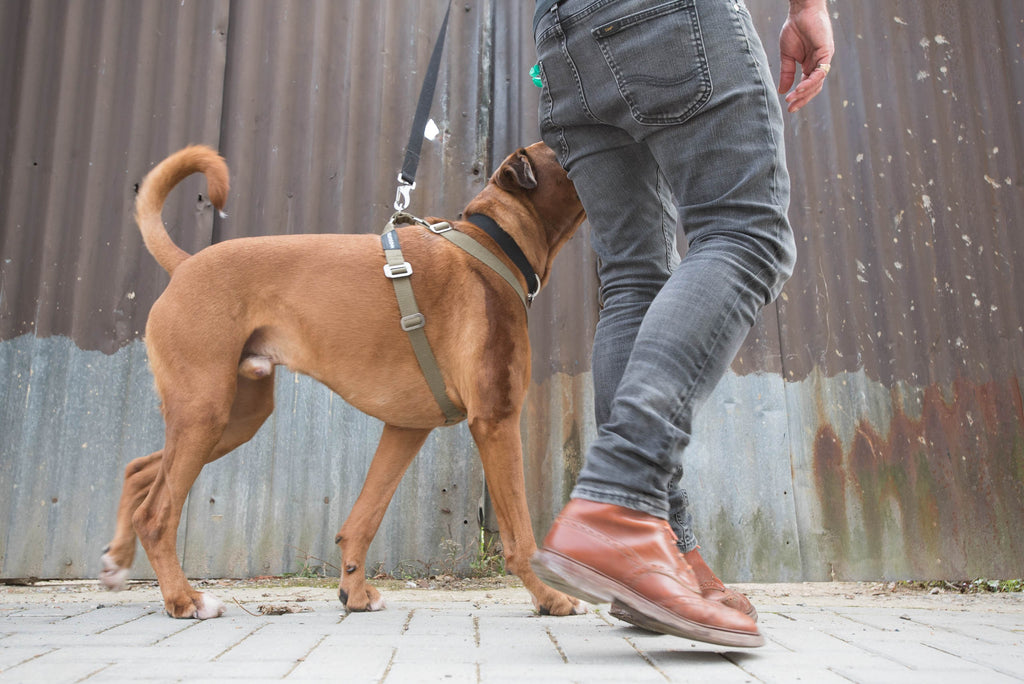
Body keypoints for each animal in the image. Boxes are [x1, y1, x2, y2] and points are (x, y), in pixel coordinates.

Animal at [99, 143, 589, 618]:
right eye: (562, 151)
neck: (494, 244)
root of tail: (186, 265)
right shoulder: (495, 420)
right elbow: (521, 535)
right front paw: (550, 597)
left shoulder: (406, 428)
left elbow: (363, 518)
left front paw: (353, 592)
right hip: (206, 413)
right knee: (156, 514)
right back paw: (184, 600)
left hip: (233, 420)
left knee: (138, 470)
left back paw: (117, 563)